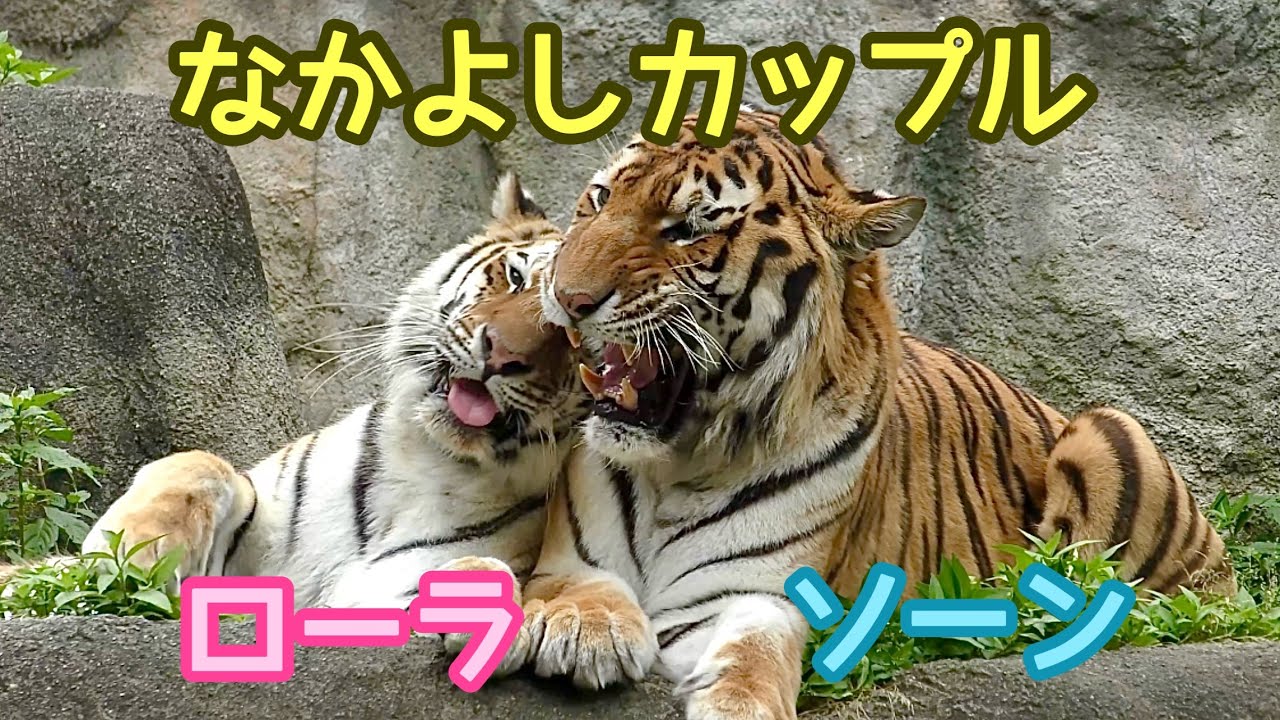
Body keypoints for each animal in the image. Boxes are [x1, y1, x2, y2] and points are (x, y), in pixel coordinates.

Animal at [4, 175, 586, 630]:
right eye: (516, 277)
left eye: (575, 337)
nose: (501, 356)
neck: (434, 455)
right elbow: (203, 465)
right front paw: (133, 552)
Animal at [514, 109, 1235, 719]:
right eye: (600, 199)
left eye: (690, 228)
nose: (566, 296)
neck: (678, 460)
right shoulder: (573, 559)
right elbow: (577, 590)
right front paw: (585, 633)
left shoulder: (751, 594)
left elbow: (752, 661)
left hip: (1106, 430)